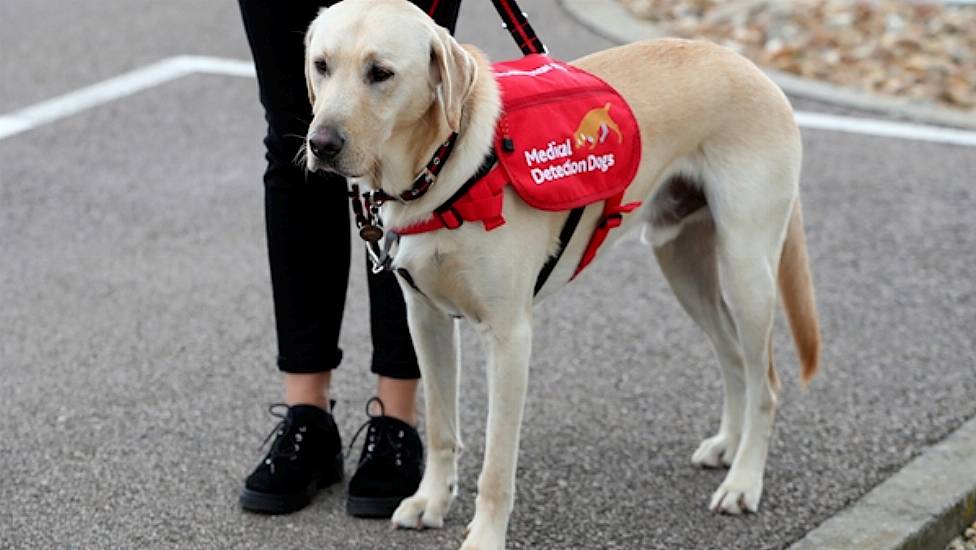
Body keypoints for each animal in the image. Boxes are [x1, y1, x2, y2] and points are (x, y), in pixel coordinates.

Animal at [302, 2, 820, 548]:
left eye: (380, 73)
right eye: (321, 65)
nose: (321, 144)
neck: (438, 168)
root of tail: (750, 68)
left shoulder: (509, 338)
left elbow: (497, 464)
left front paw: (485, 536)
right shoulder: (426, 322)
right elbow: (443, 429)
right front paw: (431, 502)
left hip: (746, 271)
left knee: (767, 382)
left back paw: (744, 482)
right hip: (684, 268)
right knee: (734, 359)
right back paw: (727, 446)